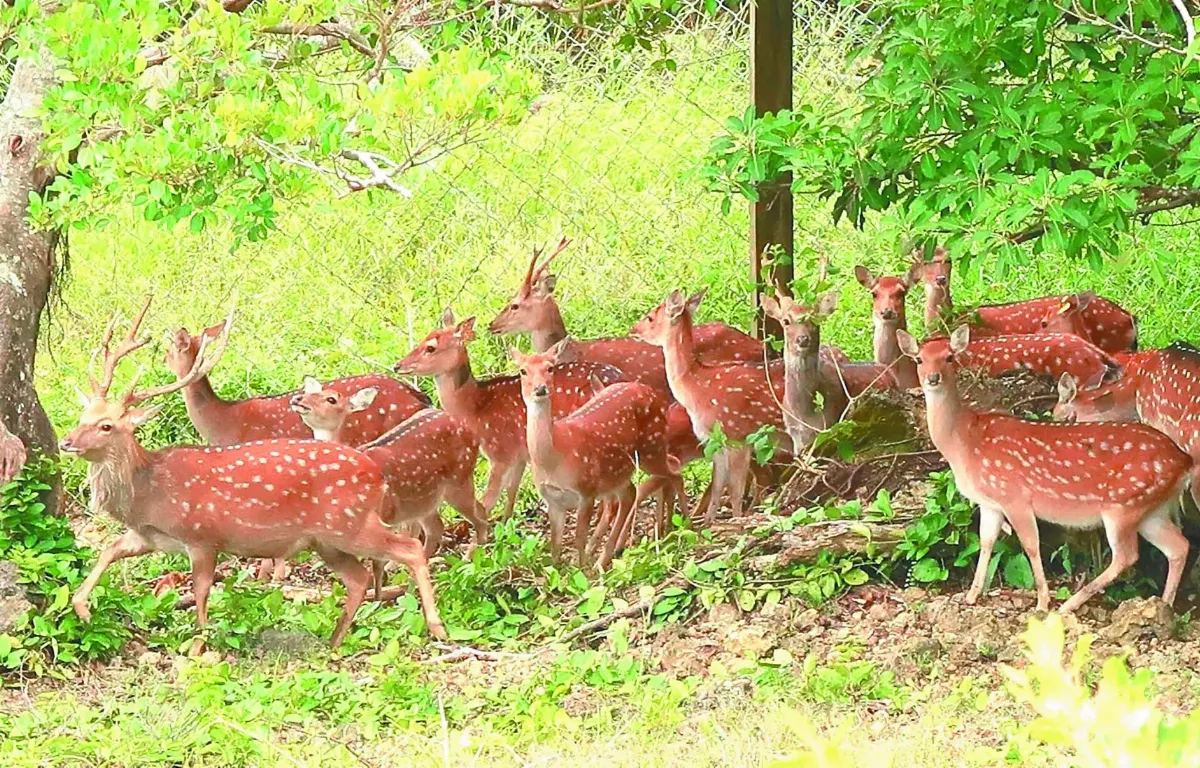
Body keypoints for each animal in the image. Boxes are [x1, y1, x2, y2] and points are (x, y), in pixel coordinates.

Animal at [59, 298, 446, 648]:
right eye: (83, 417)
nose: (66, 442)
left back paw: (435, 626)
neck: (149, 491)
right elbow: (109, 550)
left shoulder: (202, 535)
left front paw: (199, 647)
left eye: (107, 426)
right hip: (328, 539)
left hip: (349, 524)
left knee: (409, 547)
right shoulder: (147, 536)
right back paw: (335, 639)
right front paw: (81, 607)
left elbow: (202, 593)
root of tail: (376, 473)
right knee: (360, 577)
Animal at [289, 377, 490, 589]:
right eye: (309, 392)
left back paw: (472, 561)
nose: (298, 398)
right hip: (425, 498)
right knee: (440, 526)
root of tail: (471, 430)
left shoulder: (384, 514)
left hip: (458, 480)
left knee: (478, 516)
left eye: (331, 399)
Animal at [394, 308, 625, 520]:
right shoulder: (519, 454)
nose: (398, 365)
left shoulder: (500, 452)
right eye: (424, 337)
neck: (475, 408)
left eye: (431, 347)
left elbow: (488, 502)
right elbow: (511, 493)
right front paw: (506, 524)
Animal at [511, 340, 681, 569]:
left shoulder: (586, 490)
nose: (540, 389)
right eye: (522, 370)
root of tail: (652, 392)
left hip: (651, 447)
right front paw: (558, 572)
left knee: (673, 469)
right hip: (618, 470)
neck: (554, 457)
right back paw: (609, 555)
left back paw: (681, 526)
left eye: (550, 368)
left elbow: (578, 537)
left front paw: (581, 568)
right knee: (631, 492)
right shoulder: (553, 499)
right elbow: (555, 545)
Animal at [897, 325, 1191, 613]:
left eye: (949, 357)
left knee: (1127, 555)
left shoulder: (1014, 496)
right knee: (1178, 547)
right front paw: (971, 596)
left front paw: (1042, 601)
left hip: (1124, 505)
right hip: (1151, 509)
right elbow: (986, 542)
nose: (932, 378)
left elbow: (1031, 546)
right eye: (919, 359)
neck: (964, 442)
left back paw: (1069, 605)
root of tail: (1184, 462)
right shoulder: (990, 502)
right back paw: (1164, 607)